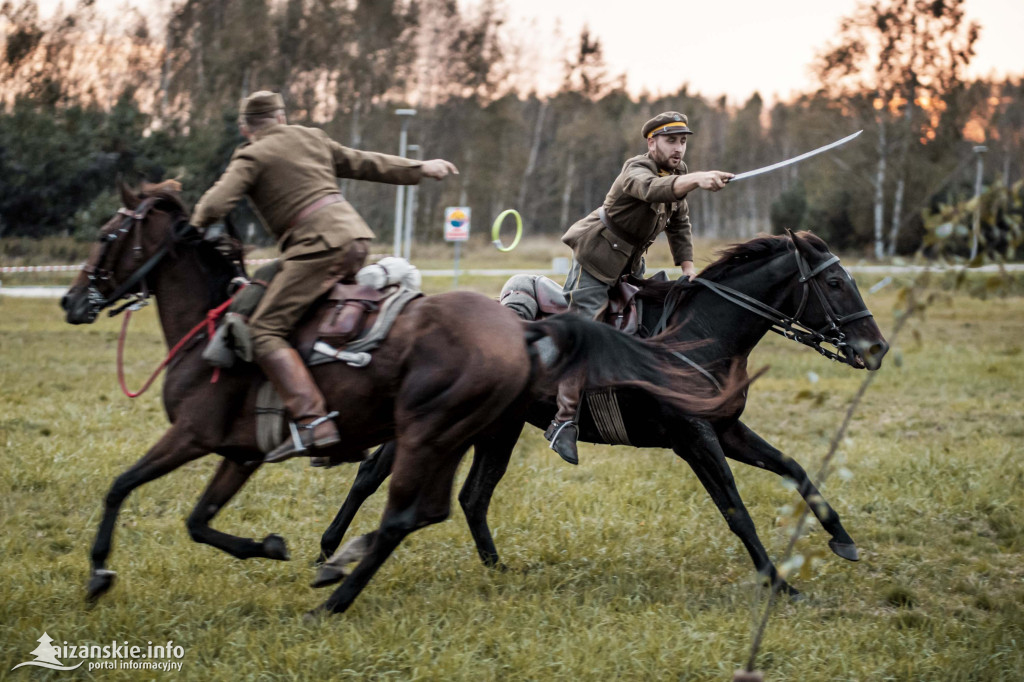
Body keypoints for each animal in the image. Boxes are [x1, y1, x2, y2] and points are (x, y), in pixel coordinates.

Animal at [58, 183, 745, 614]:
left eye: (108, 233)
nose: (70, 299)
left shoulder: (207, 441)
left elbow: (149, 497)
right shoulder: (222, 445)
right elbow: (165, 504)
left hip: (451, 431)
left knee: (428, 502)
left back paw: (350, 566)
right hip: (447, 432)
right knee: (406, 490)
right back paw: (340, 558)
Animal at [317, 231, 888, 598]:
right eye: (835, 283)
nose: (876, 347)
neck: (700, 333)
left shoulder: (726, 429)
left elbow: (795, 469)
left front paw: (842, 540)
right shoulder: (694, 438)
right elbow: (734, 508)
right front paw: (778, 581)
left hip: (497, 431)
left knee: (472, 496)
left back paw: (496, 570)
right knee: (373, 472)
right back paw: (327, 552)